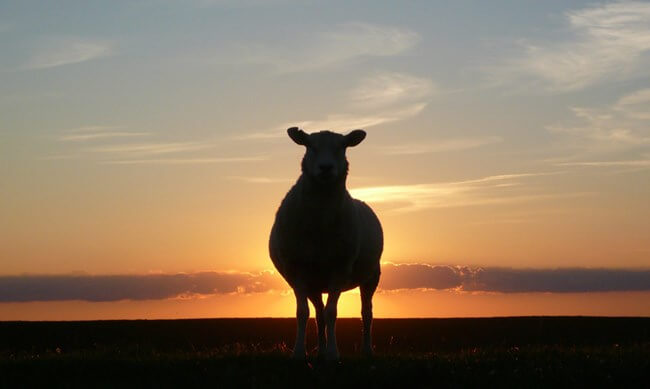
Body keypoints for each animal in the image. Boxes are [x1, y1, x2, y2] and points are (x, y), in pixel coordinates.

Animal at [268, 127, 382, 360]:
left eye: (342, 146)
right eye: (310, 146)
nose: (326, 167)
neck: (319, 223)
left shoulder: (339, 269)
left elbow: (332, 312)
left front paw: (332, 353)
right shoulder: (298, 271)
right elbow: (303, 313)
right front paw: (299, 352)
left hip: (372, 276)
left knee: (366, 313)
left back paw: (367, 350)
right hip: (315, 283)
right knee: (318, 313)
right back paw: (319, 350)